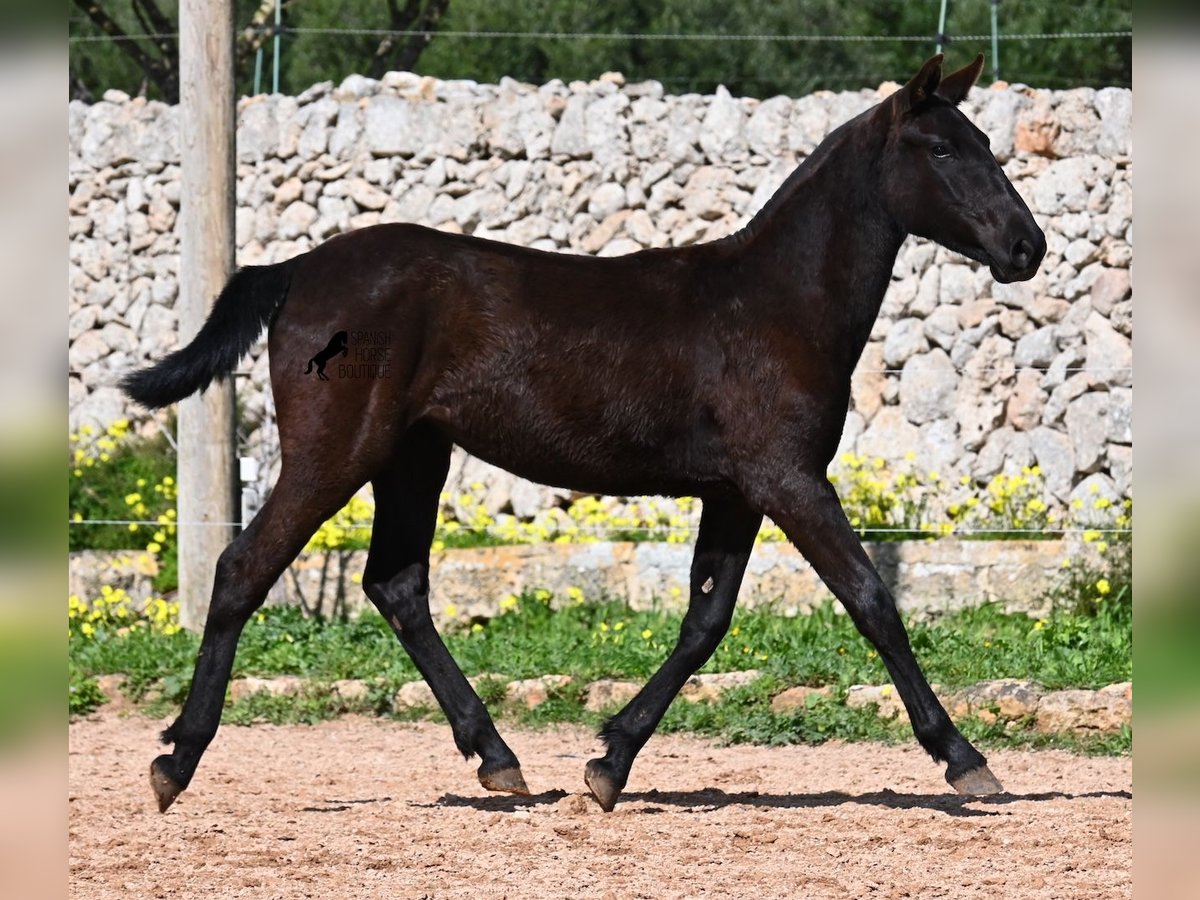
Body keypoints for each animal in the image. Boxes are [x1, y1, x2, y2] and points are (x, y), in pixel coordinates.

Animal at [124, 56, 1041, 816]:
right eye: (942, 148)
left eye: (986, 142)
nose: (1026, 247)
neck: (773, 303)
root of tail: (294, 273)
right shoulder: (788, 479)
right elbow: (873, 600)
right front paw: (965, 759)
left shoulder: (736, 493)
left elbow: (705, 623)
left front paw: (609, 764)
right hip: (335, 452)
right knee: (244, 569)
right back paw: (174, 763)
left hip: (414, 456)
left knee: (396, 585)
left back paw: (498, 759)